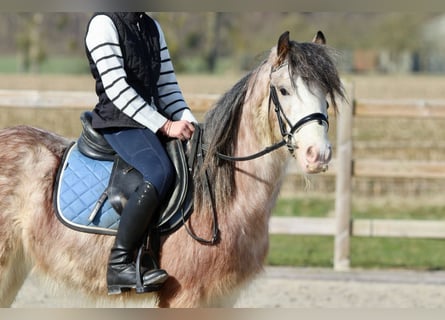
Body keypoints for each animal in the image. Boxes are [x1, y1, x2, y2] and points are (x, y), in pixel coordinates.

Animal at [0, 30, 344, 308]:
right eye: (284, 90)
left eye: (325, 95)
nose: (318, 155)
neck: (224, 197)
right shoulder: (185, 297)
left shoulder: (222, 300)